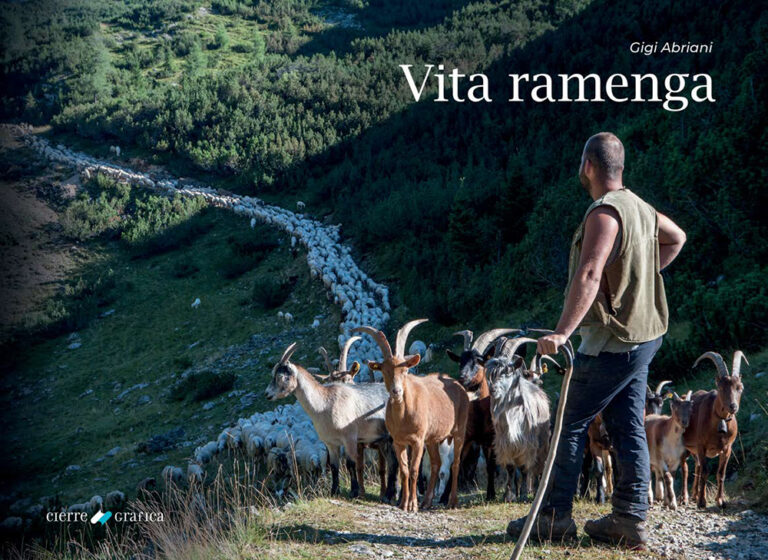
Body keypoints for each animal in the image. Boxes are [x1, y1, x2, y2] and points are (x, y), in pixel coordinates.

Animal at [264, 342, 396, 504]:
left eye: (282, 377)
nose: (267, 394)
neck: (325, 404)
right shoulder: (330, 443)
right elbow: (334, 466)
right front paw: (334, 491)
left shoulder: (350, 438)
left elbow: (351, 464)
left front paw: (354, 492)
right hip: (385, 440)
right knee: (393, 463)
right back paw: (390, 495)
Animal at [356, 320, 472, 512]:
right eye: (384, 370)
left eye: (405, 370)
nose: (396, 391)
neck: (403, 417)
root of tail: (458, 384)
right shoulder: (398, 441)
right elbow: (404, 470)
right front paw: (404, 503)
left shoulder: (417, 441)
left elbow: (414, 470)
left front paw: (412, 505)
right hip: (432, 438)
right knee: (436, 463)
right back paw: (427, 502)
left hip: (459, 431)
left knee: (455, 463)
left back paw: (452, 501)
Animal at [440, 326, 520, 500]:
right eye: (460, 361)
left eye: (478, 361)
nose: (462, 377)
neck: (479, 413)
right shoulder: (465, 437)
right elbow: (456, 463)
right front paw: (445, 497)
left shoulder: (490, 439)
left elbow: (491, 465)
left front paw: (491, 494)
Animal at [486, 336, 552, 504]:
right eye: (490, 373)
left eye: (508, 372)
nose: (493, 389)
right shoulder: (506, 443)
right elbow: (510, 468)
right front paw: (508, 495)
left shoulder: (527, 442)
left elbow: (524, 468)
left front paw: (522, 494)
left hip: (542, 442)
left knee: (538, 466)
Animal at [680, 352, 748, 510]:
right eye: (721, 387)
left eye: (740, 387)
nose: (733, 406)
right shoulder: (701, 446)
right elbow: (706, 471)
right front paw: (702, 502)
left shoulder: (727, 448)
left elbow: (721, 473)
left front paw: (721, 501)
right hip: (685, 446)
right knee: (685, 468)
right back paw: (684, 498)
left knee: (697, 467)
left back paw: (694, 495)